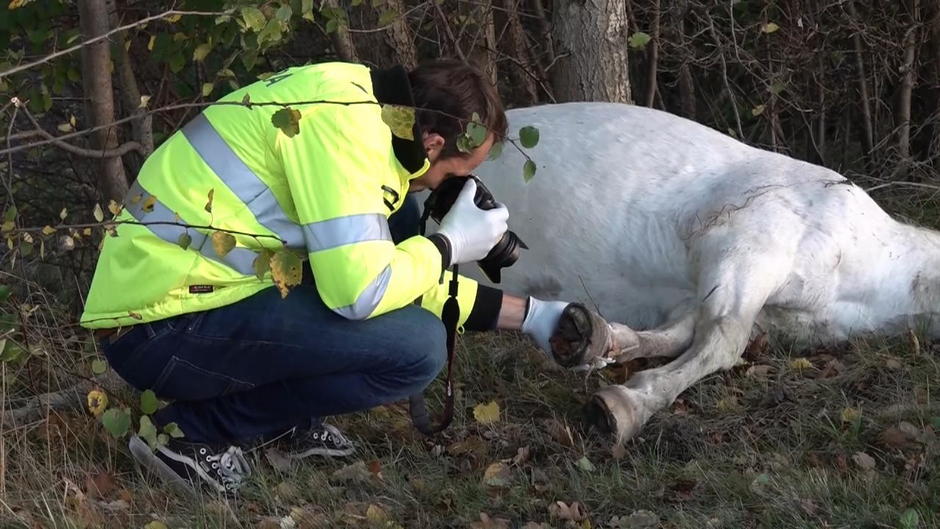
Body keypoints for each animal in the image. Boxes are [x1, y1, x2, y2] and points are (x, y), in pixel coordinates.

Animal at [474, 101, 936, 444]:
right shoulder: (743, 251)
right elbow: (721, 340)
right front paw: (627, 405)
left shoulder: (757, 307)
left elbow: (681, 333)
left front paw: (596, 339)